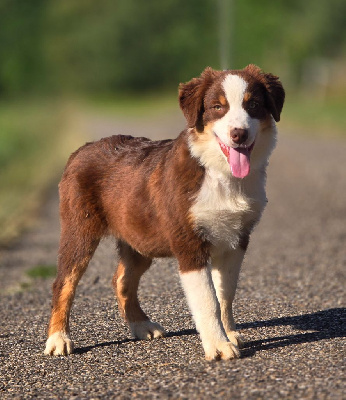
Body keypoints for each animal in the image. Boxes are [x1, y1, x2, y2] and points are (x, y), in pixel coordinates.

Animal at [44, 65, 286, 360]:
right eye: (218, 107)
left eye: (253, 105)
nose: (238, 134)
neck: (219, 173)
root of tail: (81, 149)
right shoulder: (189, 244)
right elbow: (207, 300)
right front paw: (218, 346)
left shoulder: (237, 240)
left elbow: (225, 294)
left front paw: (229, 334)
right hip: (80, 229)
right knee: (64, 282)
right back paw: (58, 339)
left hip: (139, 238)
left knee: (121, 280)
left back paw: (141, 325)